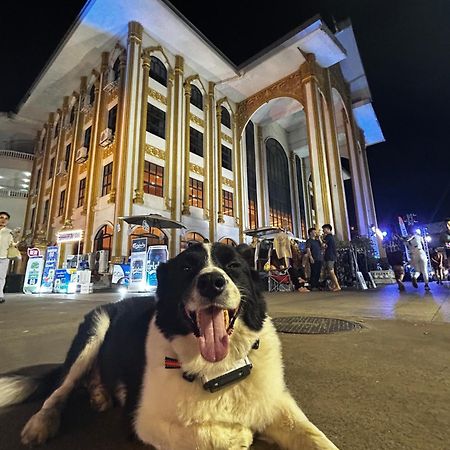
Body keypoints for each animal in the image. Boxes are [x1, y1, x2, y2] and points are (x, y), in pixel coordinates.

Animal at [0, 244, 338, 450]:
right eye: (187, 269)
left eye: (233, 266)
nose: (212, 282)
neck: (219, 370)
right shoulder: (143, 420)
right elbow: (202, 434)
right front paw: (236, 434)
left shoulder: (277, 403)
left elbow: (314, 436)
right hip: (95, 329)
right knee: (59, 390)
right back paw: (41, 424)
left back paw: (99, 394)